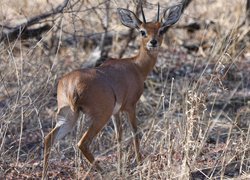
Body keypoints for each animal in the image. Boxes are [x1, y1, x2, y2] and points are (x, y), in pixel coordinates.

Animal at [42, 2, 182, 179]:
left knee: (49, 138)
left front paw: (122, 166)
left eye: (161, 29)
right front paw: (139, 164)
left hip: (68, 115)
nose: (153, 42)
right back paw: (105, 172)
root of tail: (71, 84)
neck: (136, 66)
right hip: (100, 116)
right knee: (82, 143)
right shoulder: (130, 106)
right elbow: (135, 133)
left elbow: (119, 136)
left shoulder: (116, 112)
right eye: (142, 31)